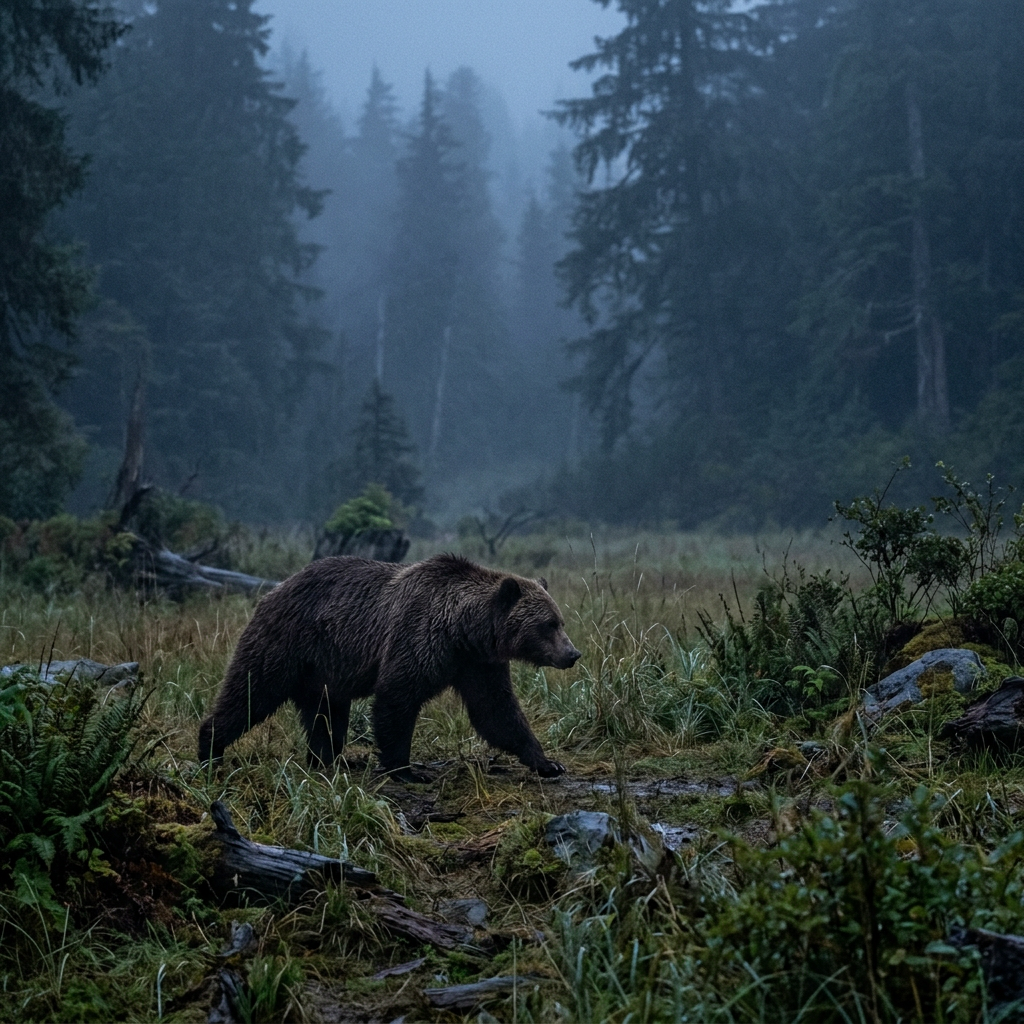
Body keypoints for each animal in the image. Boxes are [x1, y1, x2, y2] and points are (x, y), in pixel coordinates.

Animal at [197, 553, 580, 780]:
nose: (572, 653)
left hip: (324, 670)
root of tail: (272, 590)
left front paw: (547, 762)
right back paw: (210, 750)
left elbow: (496, 711)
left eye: (559, 620)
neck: (463, 630)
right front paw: (407, 768)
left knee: (326, 716)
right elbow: (397, 698)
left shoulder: (476, 664)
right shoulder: (419, 636)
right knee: (250, 692)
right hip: (286, 644)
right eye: (548, 624)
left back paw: (328, 760)